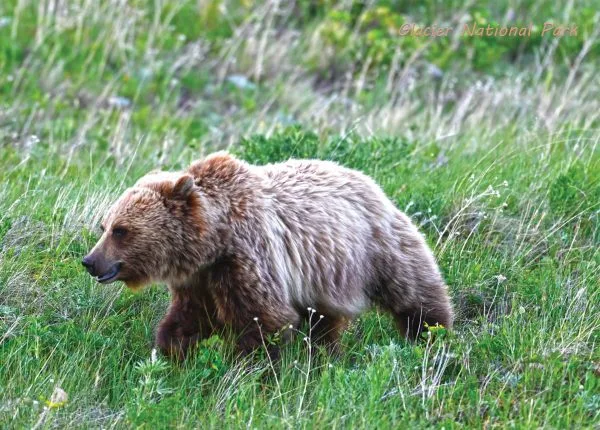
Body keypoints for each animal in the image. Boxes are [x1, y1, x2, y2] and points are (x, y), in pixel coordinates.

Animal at [81, 151, 454, 360]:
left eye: (122, 230)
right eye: (104, 225)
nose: (90, 262)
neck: (215, 238)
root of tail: (370, 181)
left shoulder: (247, 258)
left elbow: (264, 321)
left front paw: (249, 372)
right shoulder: (202, 279)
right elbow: (189, 318)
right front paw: (171, 353)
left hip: (378, 246)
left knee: (414, 293)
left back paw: (432, 336)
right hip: (324, 277)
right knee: (323, 323)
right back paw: (325, 355)